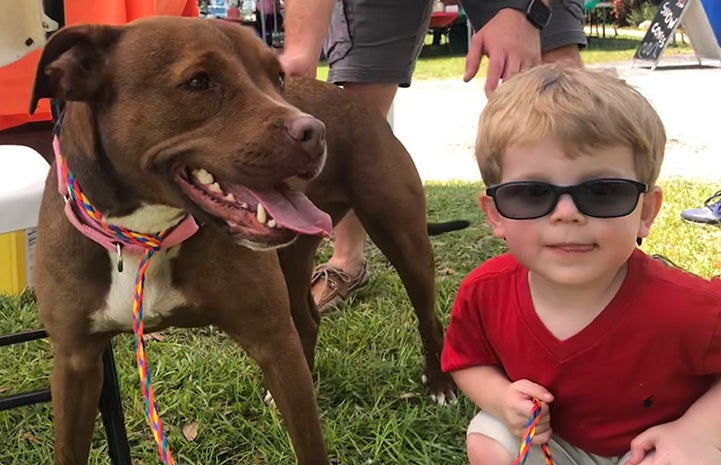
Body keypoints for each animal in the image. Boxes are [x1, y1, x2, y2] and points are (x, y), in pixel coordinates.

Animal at [31, 15, 452, 464]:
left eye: (278, 77)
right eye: (199, 81)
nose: (315, 132)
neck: (143, 236)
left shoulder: (272, 340)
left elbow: (310, 443)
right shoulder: (75, 362)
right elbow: (68, 447)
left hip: (403, 240)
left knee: (427, 315)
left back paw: (440, 385)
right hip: (292, 262)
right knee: (307, 318)